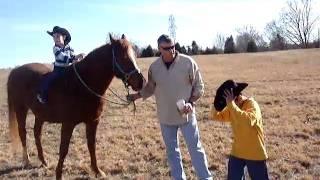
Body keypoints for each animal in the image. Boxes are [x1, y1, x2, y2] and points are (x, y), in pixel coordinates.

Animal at [6, 33, 144, 179]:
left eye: (134, 54)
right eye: (123, 57)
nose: (140, 81)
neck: (82, 84)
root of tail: (15, 71)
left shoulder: (93, 121)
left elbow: (91, 145)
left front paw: (97, 170)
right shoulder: (68, 123)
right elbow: (63, 149)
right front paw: (59, 175)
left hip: (40, 114)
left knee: (37, 133)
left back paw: (43, 161)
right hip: (20, 109)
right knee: (23, 133)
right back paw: (26, 161)